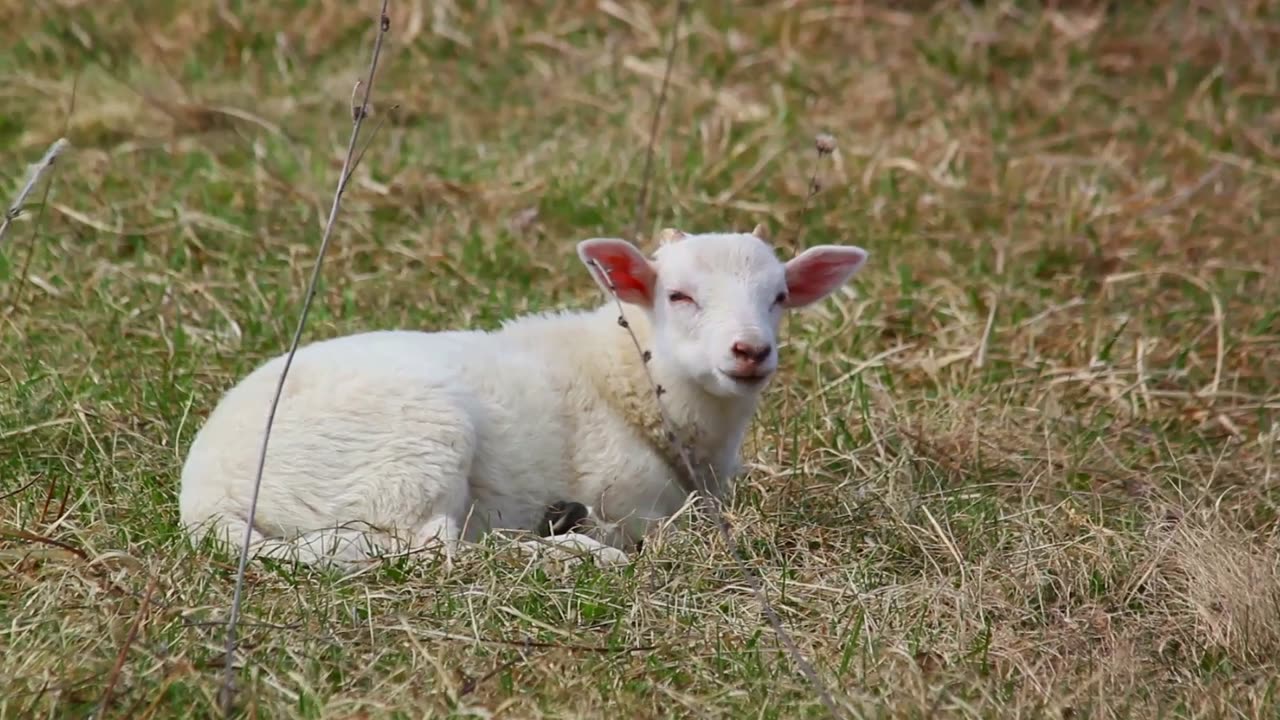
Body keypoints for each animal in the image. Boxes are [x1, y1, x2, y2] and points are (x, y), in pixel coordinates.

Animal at [178, 226, 869, 569]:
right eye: (679, 296)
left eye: (780, 296)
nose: (751, 351)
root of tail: (207, 499)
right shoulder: (632, 498)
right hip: (412, 449)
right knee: (431, 549)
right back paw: (567, 552)